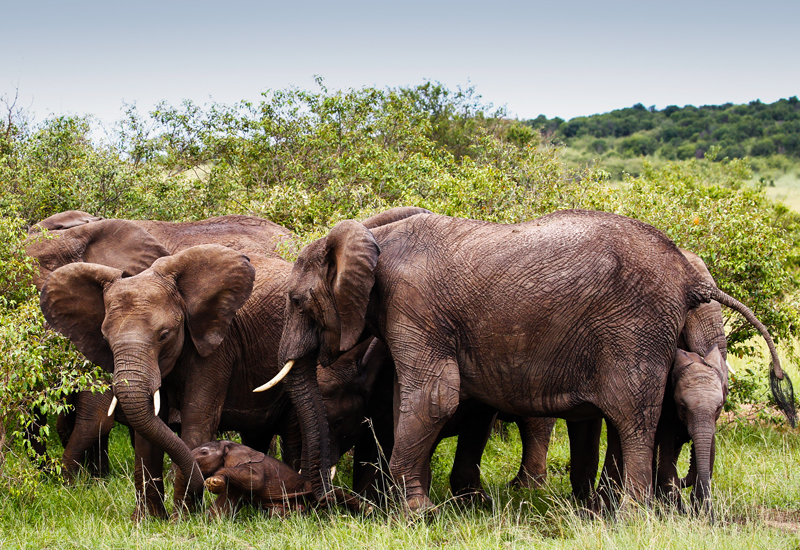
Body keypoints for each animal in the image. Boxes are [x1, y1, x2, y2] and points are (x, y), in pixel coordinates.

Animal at [192, 442, 360, 520]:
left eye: (204, 452)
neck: (234, 446)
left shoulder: (255, 466)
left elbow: (256, 480)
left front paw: (213, 481)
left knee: (338, 493)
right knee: (276, 512)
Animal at [264, 208, 792, 512]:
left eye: (296, 300)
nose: (325, 500)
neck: (374, 240)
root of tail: (688, 274)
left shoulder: (413, 306)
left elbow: (436, 396)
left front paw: (411, 515)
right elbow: (417, 400)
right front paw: (411, 507)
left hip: (634, 330)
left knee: (633, 416)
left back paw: (628, 515)